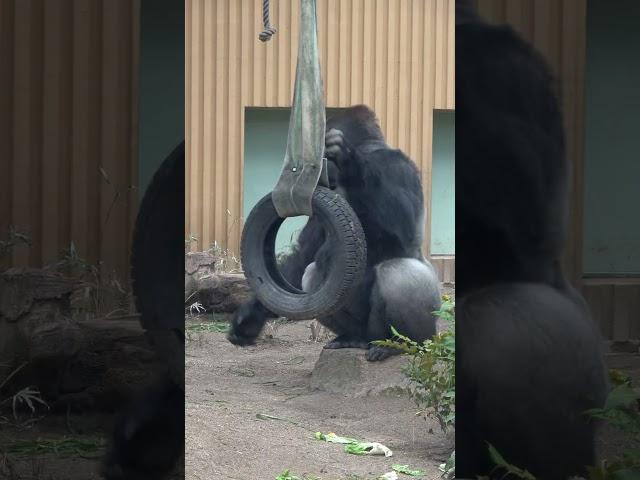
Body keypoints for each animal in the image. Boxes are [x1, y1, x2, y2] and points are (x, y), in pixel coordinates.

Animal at [228, 105, 442, 360]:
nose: (319, 166)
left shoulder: (396, 165)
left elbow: (405, 228)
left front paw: (350, 159)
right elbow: (304, 255)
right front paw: (251, 317)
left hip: (426, 331)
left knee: (398, 272)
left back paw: (398, 344)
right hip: (363, 328)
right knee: (312, 274)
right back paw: (352, 337)